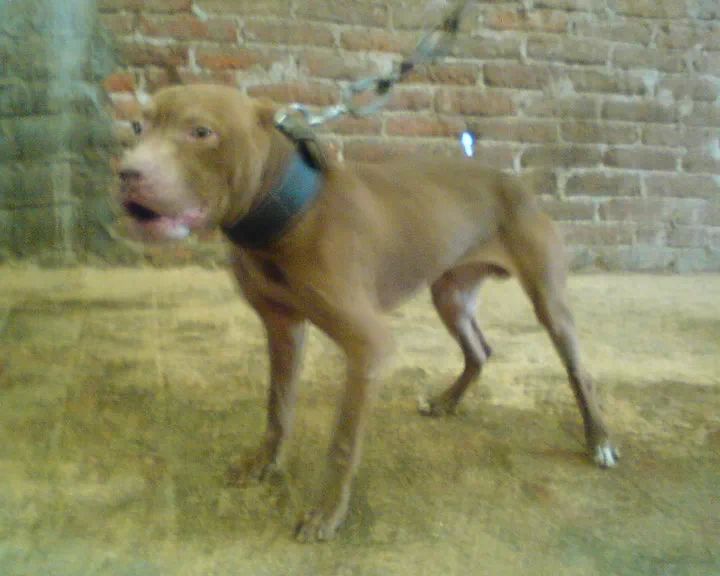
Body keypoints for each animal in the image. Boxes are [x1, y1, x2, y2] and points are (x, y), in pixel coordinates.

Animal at [118, 84, 618, 542]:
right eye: (138, 127)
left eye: (201, 132)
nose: (125, 173)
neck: (288, 212)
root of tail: (515, 181)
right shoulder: (281, 327)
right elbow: (277, 407)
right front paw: (264, 462)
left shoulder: (368, 346)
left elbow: (342, 442)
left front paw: (327, 513)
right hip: (450, 295)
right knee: (480, 349)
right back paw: (447, 401)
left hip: (548, 303)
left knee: (580, 371)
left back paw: (599, 441)